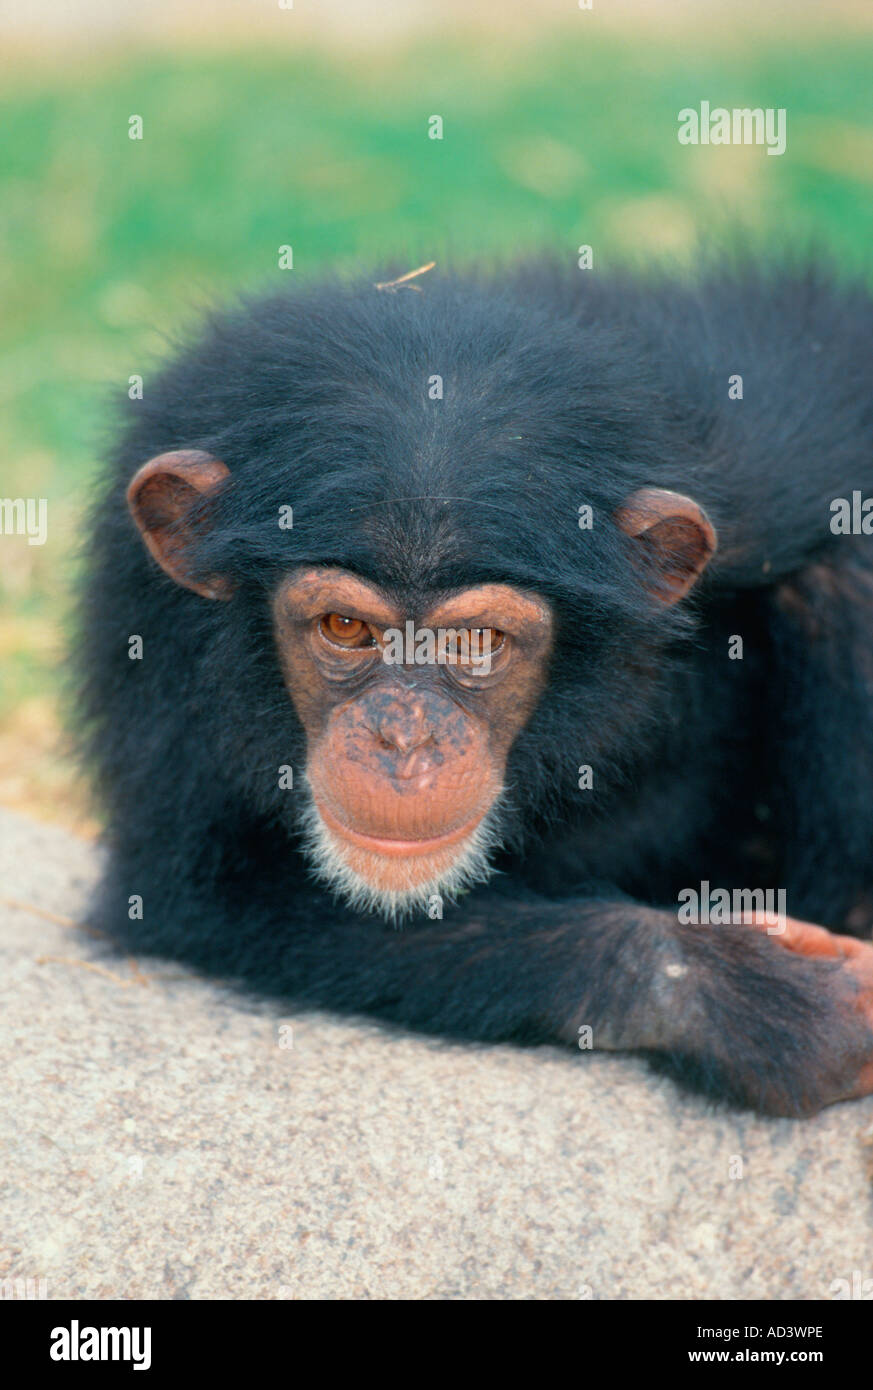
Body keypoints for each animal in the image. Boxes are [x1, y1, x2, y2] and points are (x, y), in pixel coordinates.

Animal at [76, 261, 873, 1117]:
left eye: (475, 642)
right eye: (344, 627)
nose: (404, 736)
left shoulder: (766, 464)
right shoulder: (155, 630)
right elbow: (202, 890)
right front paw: (740, 993)